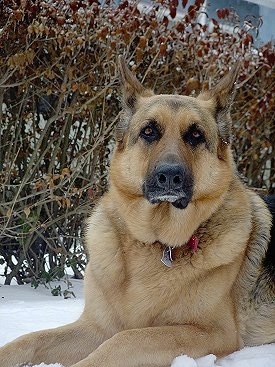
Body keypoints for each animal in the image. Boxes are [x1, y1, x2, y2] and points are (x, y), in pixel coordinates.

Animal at [0, 58, 275, 367]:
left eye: (195, 135)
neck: (156, 242)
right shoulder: (95, 328)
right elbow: (29, 340)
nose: (170, 176)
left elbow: (126, 339)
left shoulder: (211, 332)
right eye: (149, 131)